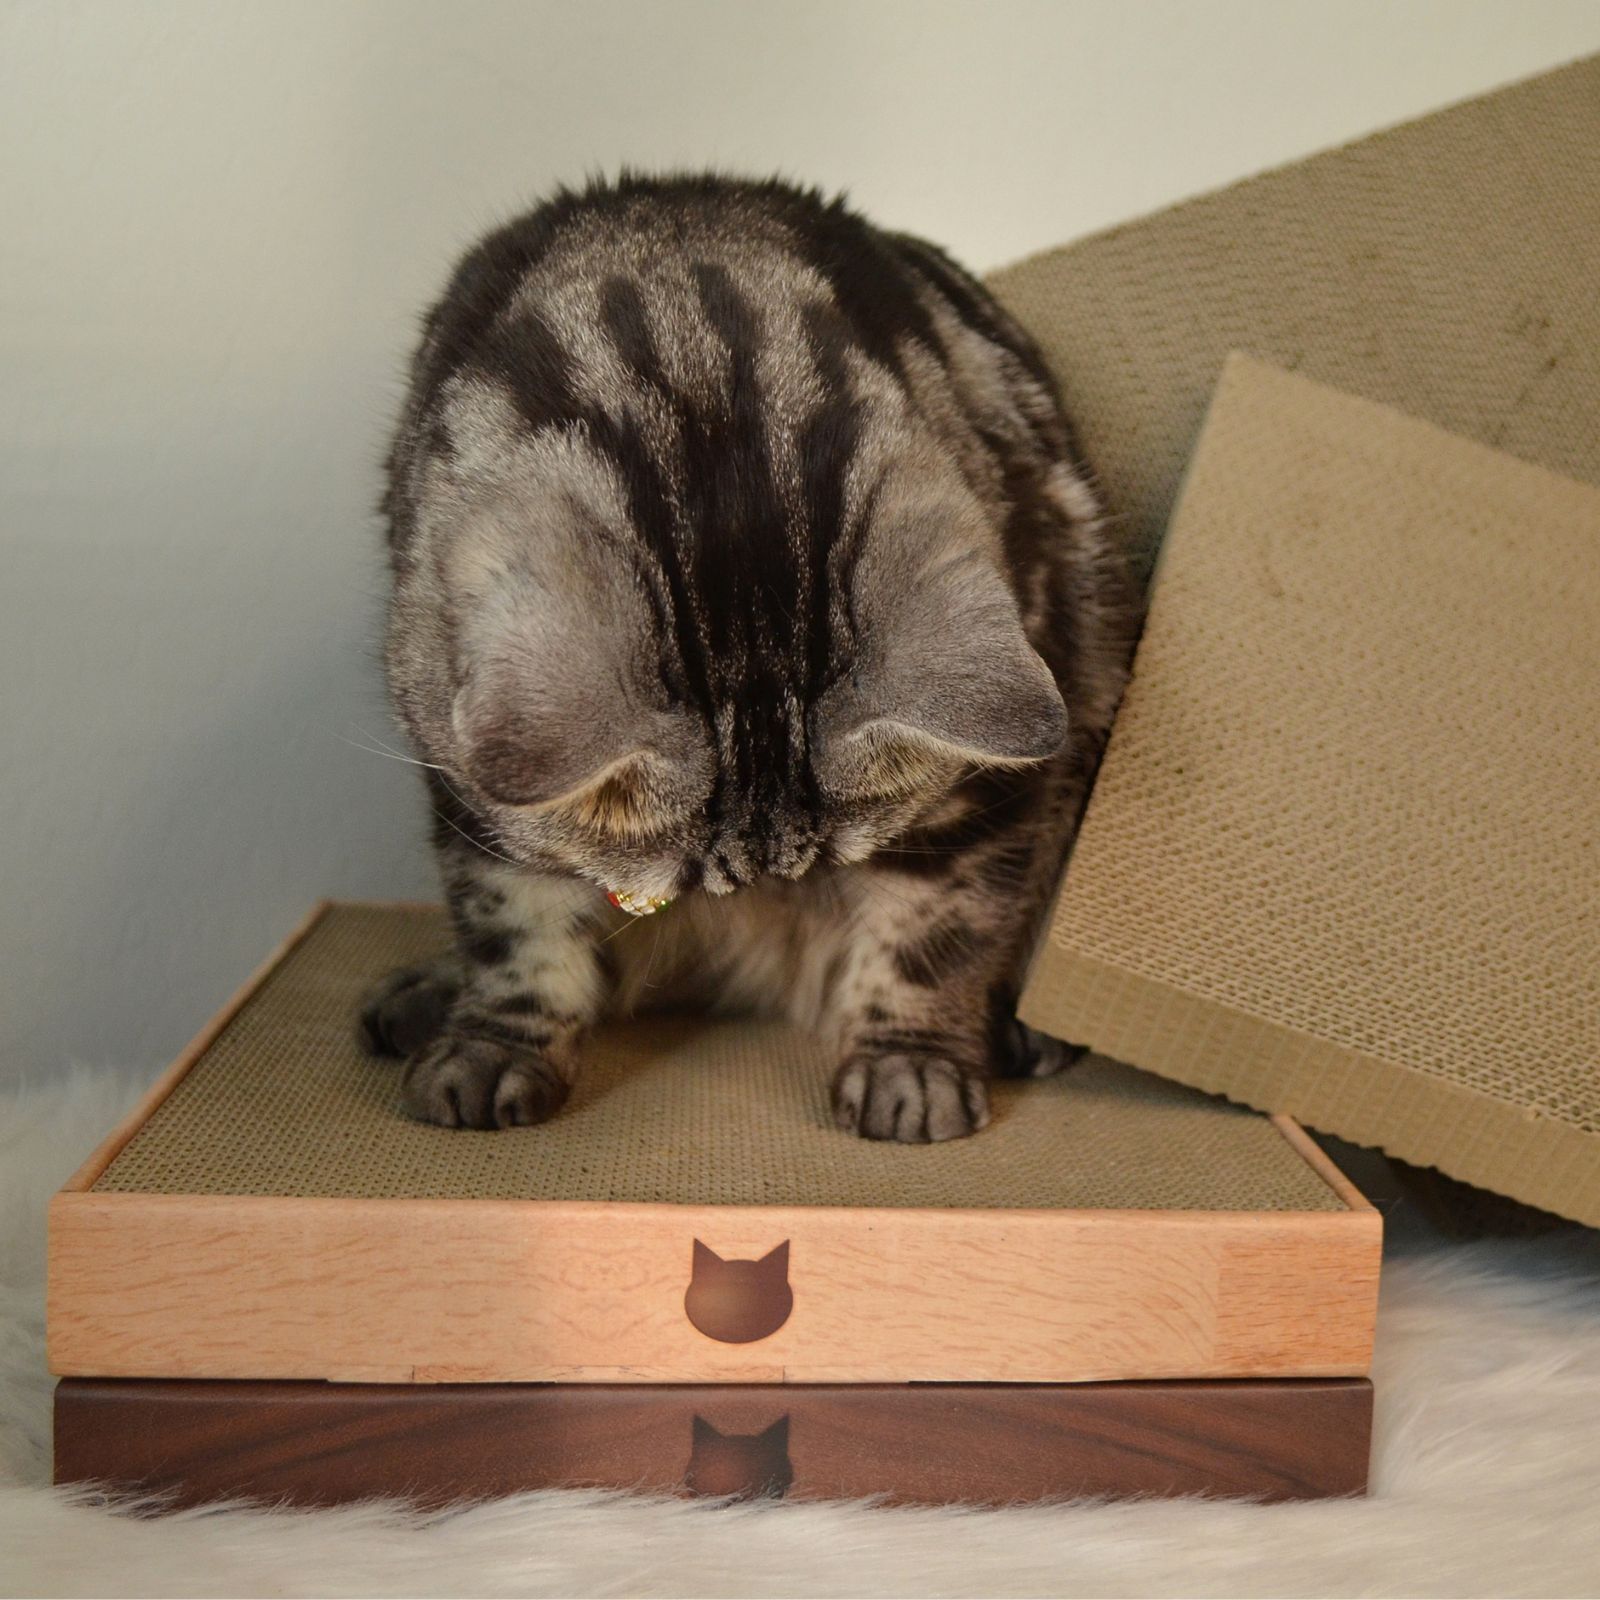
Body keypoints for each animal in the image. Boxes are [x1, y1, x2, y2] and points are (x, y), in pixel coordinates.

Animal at [363, 175, 1139, 1145]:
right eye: (665, 884)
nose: (755, 896)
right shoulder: (469, 785)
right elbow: (515, 926)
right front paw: (493, 1043)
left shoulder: (985, 794)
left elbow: (934, 934)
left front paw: (911, 1066)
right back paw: (426, 995)